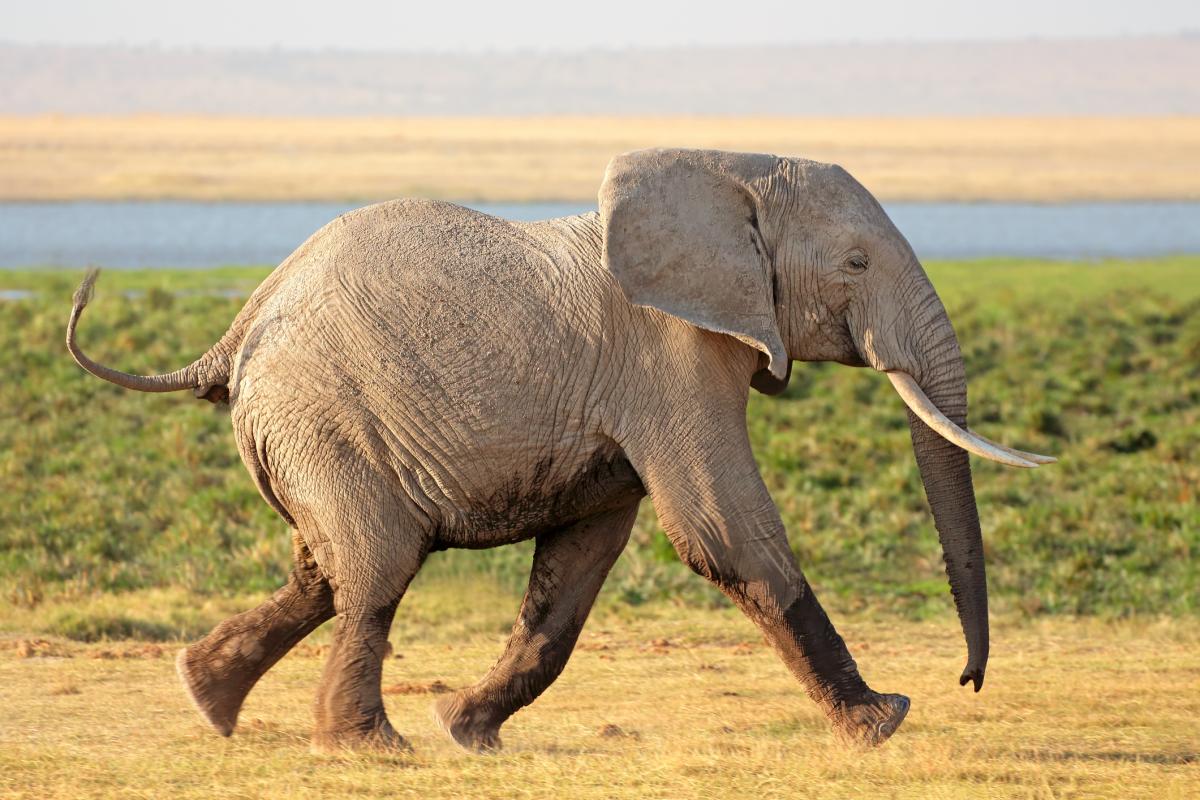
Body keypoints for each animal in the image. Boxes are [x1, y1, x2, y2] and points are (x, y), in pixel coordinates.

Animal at [66, 148, 1053, 753]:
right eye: (855, 265)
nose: (966, 680)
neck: (727, 169)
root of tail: (232, 334)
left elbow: (577, 571)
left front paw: (467, 730)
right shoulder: (670, 356)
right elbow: (722, 531)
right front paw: (882, 724)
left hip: (307, 431)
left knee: (323, 568)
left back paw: (208, 700)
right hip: (323, 416)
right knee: (376, 565)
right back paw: (368, 748)